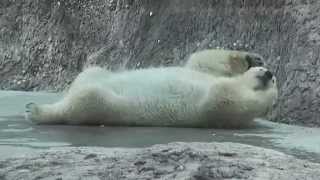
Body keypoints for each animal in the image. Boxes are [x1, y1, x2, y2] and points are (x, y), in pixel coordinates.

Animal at [26, 49, 278, 128]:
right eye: (271, 74)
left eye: (275, 82)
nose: (269, 74)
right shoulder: (206, 73)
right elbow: (200, 61)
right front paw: (250, 59)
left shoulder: (215, 110)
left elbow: (222, 98)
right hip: (96, 74)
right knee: (90, 74)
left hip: (112, 107)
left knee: (88, 99)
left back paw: (37, 110)